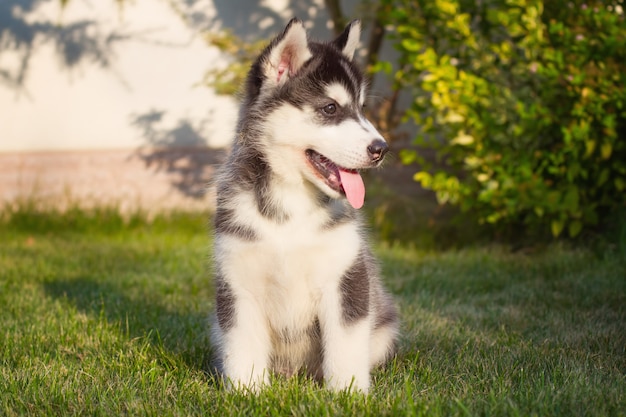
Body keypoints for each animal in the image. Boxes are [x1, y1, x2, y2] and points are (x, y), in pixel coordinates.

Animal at [210, 17, 394, 392]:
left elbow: (345, 348)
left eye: (361, 109)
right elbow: (242, 349)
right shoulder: (237, 282)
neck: (292, 204)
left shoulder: (346, 276)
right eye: (330, 108)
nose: (381, 149)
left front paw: (349, 394)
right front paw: (247, 393)